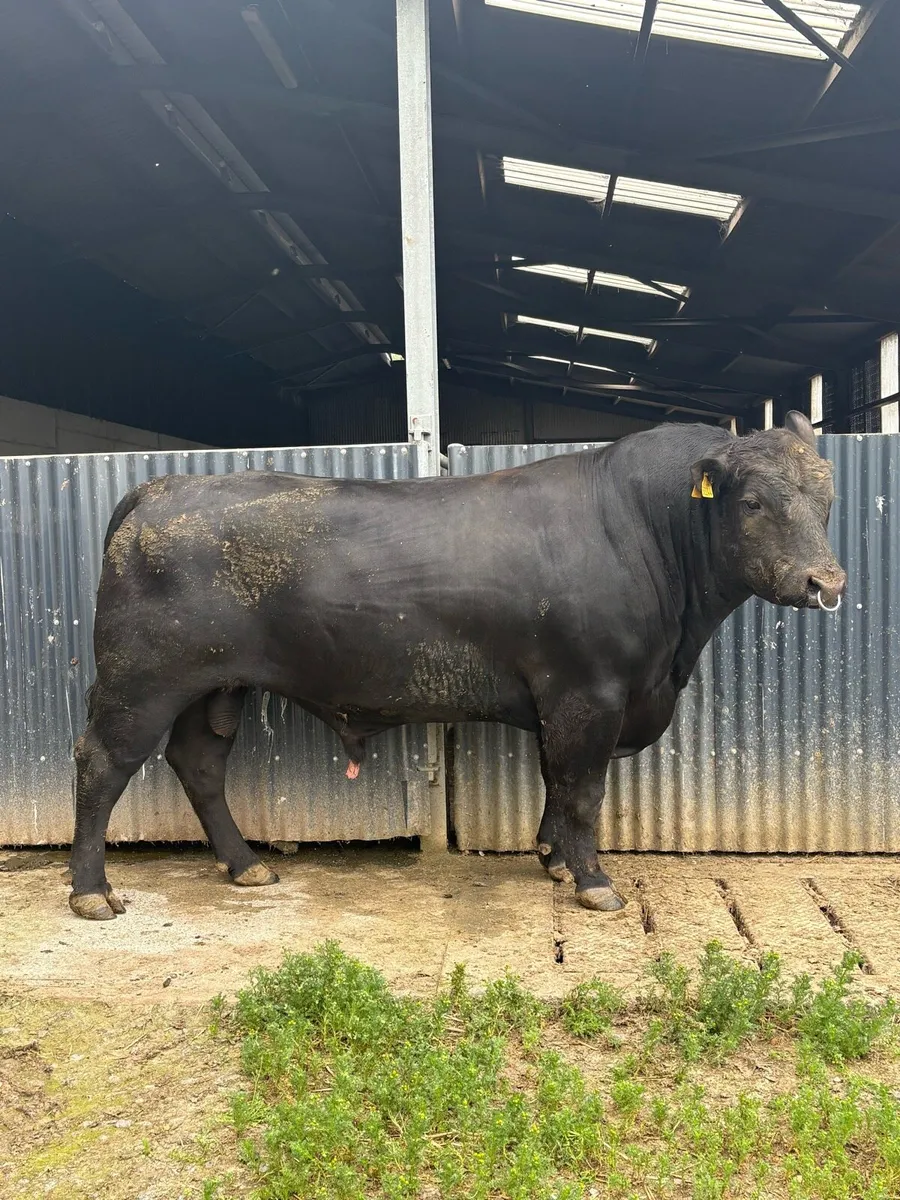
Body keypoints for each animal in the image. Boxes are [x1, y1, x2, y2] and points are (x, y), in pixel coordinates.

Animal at [68, 412, 845, 920]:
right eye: (753, 502)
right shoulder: (589, 692)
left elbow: (555, 782)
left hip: (218, 685)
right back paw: (91, 891)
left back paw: (246, 866)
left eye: (827, 498)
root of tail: (160, 490)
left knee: (199, 762)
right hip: (141, 682)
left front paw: (552, 859)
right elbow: (583, 789)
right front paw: (594, 882)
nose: (826, 582)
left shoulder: (562, 700)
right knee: (102, 764)